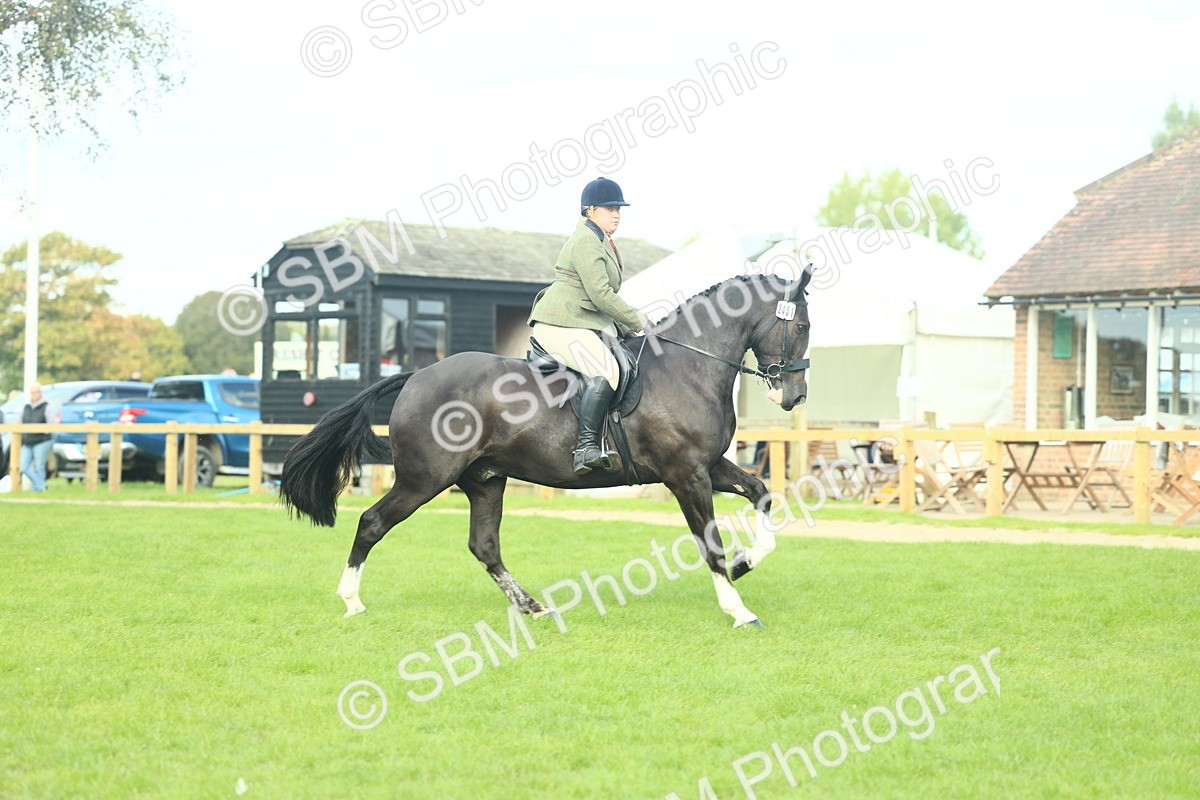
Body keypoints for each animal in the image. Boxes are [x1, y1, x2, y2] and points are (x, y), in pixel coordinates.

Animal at [279, 270, 812, 628]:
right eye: (803, 326)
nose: (794, 397)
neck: (689, 368)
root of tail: (416, 375)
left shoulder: (709, 465)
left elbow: (762, 493)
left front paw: (746, 562)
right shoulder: (686, 474)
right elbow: (709, 543)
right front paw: (738, 608)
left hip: (485, 480)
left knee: (484, 545)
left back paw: (533, 606)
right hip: (424, 479)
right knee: (372, 523)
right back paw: (351, 600)